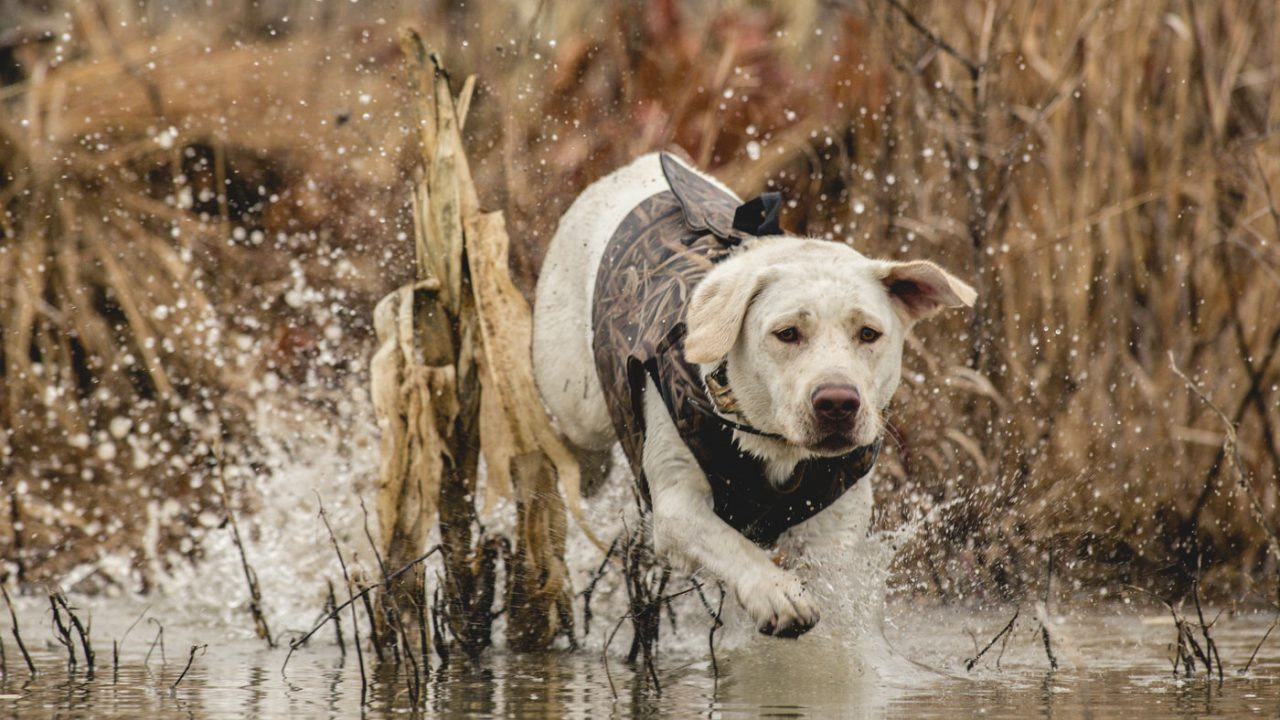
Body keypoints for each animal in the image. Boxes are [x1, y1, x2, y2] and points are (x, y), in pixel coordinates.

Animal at [532, 152, 974, 638]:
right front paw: (776, 593)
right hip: (578, 404)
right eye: (787, 333)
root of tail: (632, 167)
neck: (773, 446)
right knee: (580, 446)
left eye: (868, 333)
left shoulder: (835, 520)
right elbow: (728, 542)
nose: (838, 402)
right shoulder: (676, 505)